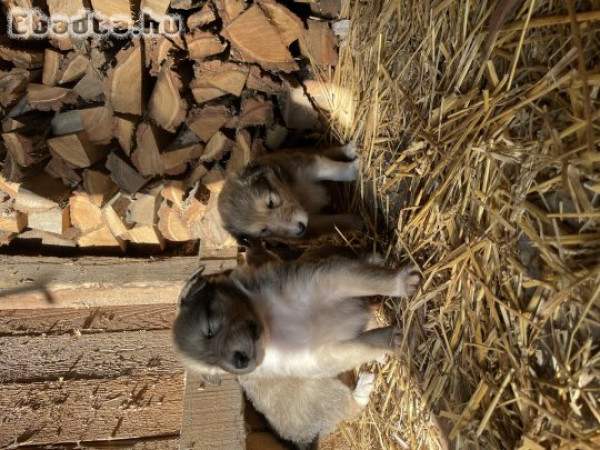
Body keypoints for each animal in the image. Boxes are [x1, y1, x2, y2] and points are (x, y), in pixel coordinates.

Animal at [218, 142, 364, 244]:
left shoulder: (307, 166)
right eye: (264, 230)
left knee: (326, 151)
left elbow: (333, 170)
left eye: (271, 202)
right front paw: (357, 221)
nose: (300, 228)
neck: (297, 195)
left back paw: (348, 149)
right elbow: (335, 222)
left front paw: (355, 168)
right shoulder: (313, 224)